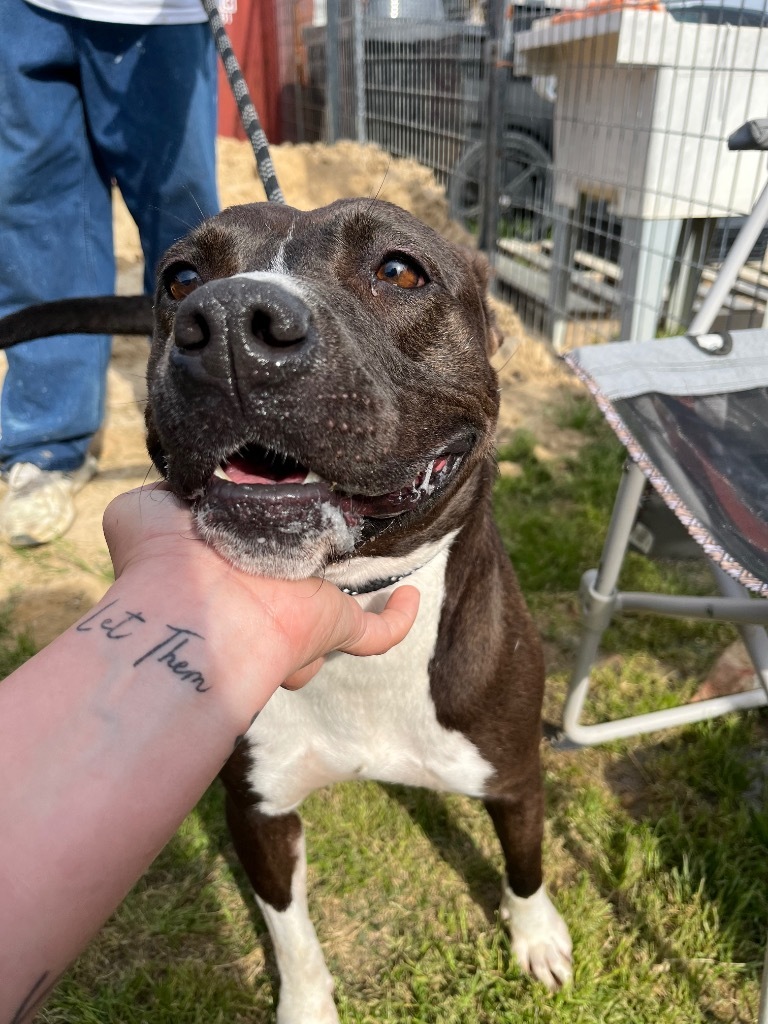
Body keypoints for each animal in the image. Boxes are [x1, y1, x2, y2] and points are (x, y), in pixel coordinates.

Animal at [6, 197, 573, 1015]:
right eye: (182, 278)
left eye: (399, 270)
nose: (230, 323)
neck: (358, 604)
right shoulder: (258, 812)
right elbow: (289, 930)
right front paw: (306, 1006)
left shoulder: (516, 774)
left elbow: (526, 865)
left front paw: (537, 936)